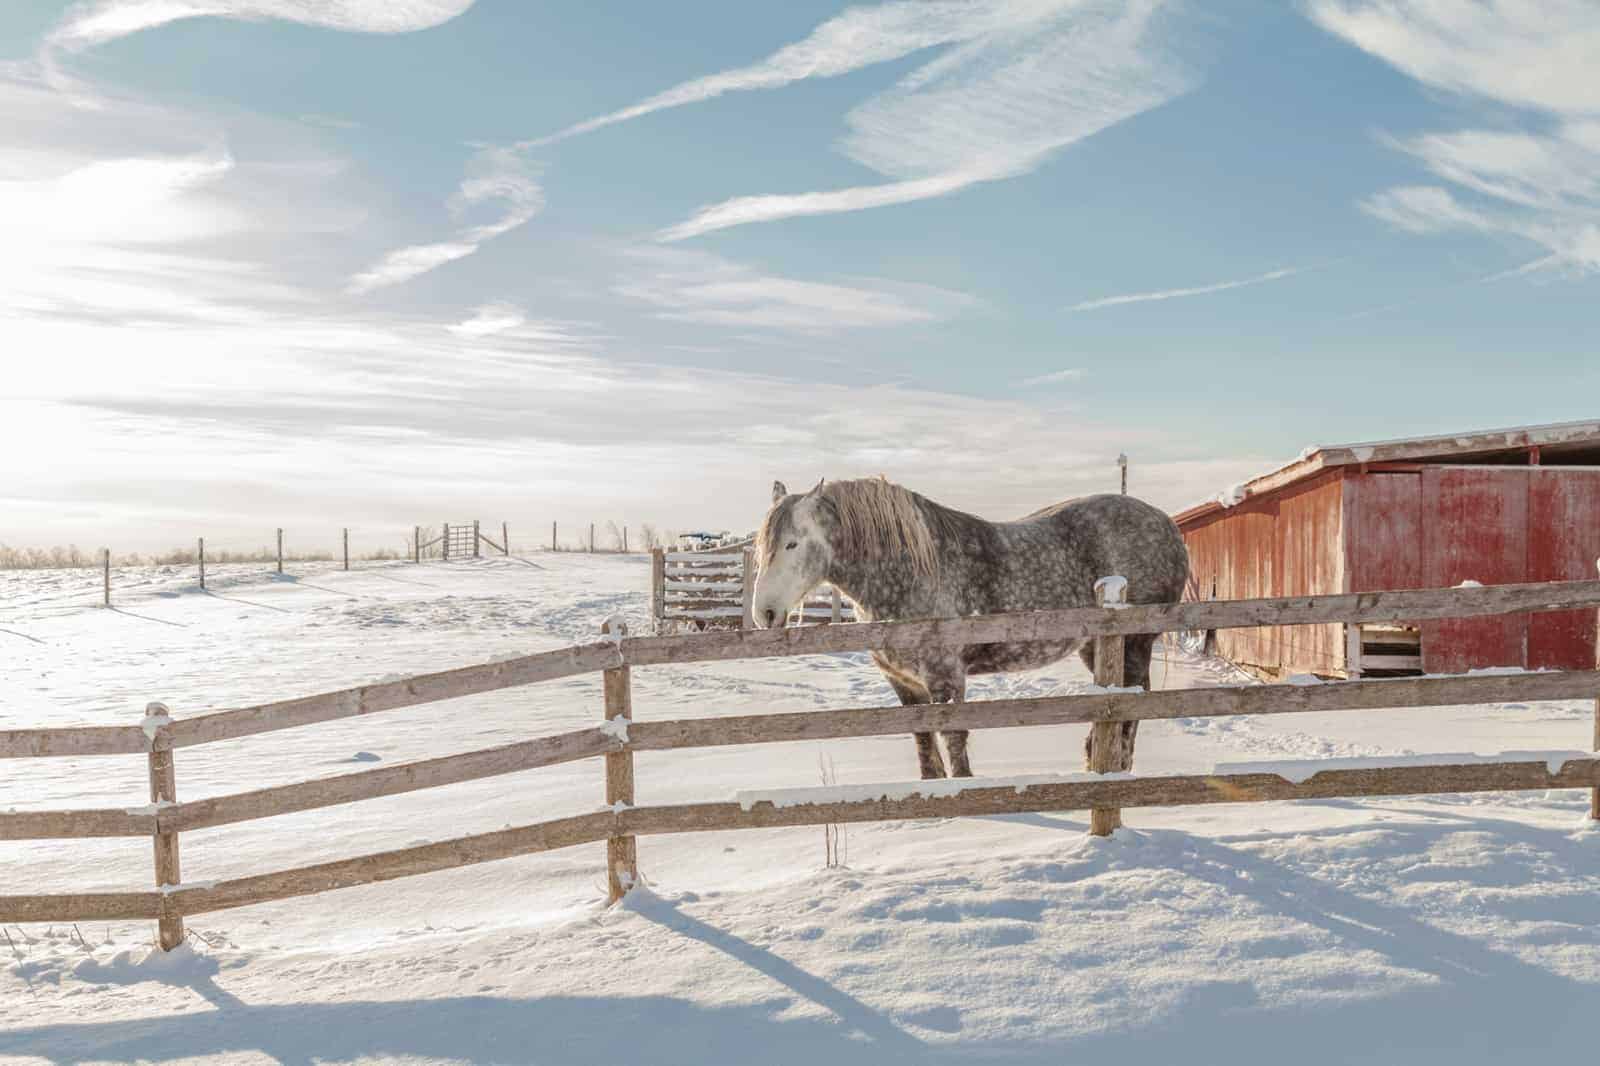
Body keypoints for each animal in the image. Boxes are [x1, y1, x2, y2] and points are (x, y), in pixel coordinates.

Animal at [752, 477, 1189, 779]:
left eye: (792, 544)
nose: (765, 614)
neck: (909, 569)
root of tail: (1167, 525)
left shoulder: (945, 675)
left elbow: (953, 734)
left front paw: (962, 791)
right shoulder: (902, 680)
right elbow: (921, 735)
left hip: (1134, 643)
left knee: (1134, 699)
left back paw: (1116, 765)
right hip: (1096, 646)